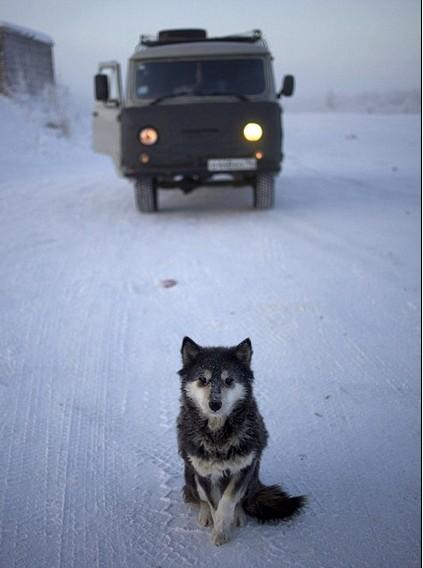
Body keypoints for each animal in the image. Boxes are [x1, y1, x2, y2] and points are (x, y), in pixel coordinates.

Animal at [177, 338, 306, 544]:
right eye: (202, 380)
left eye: (229, 380)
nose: (215, 404)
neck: (218, 435)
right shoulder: (204, 472)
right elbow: (213, 501)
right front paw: (218, 528)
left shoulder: (244, 468)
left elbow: (228, 500)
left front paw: (223, 528)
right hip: (190, 473)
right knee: (198, 497)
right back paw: (205, 514)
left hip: (252, 476)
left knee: (241, 499)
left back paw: (238, 515)